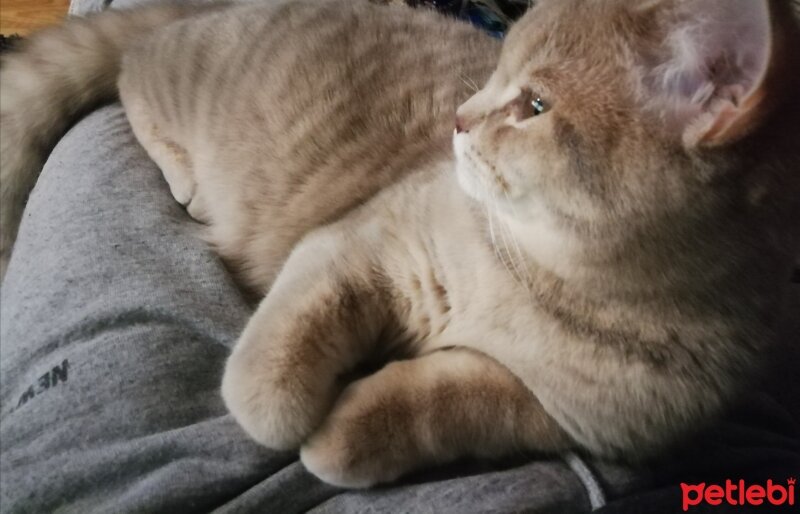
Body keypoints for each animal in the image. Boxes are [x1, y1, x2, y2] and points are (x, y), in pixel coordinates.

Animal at [1, 0, 800, 486]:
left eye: (535, 104)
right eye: (496, 72)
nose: (459, 117)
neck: (554, 281)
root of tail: (217, 8)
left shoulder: (546, 409)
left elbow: (429, 407)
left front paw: (342, 437)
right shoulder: (359, 247)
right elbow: (267, 382)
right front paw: (286, 416)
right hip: (178, 80)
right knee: (131, 76)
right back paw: (182, 175)